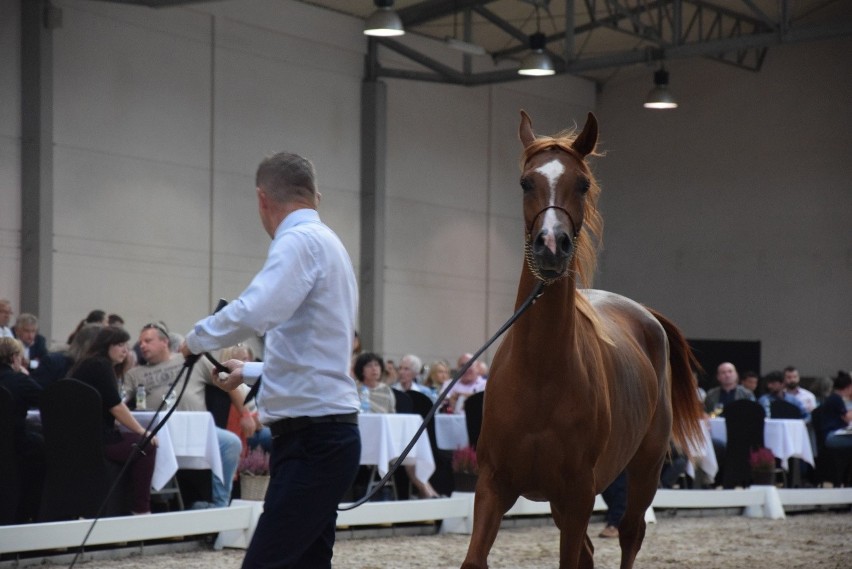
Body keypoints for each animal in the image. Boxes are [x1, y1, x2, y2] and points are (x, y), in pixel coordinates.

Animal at [462, 111, 704, 568]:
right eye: (526, 182)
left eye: (583, 184)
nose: (551, 246)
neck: (539, 374)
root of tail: (647, 316)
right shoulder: (493, 485)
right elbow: (474, 559)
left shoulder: (577, 496)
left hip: (644, 469)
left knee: (630, 532)